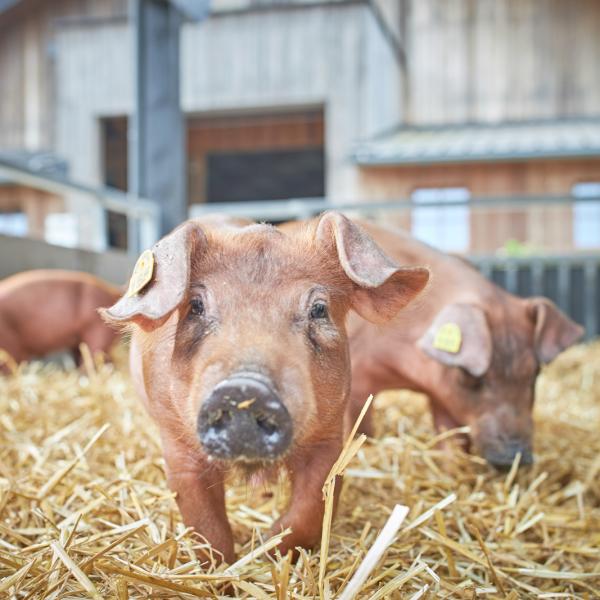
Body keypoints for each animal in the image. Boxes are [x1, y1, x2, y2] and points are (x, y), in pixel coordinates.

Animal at [104, 214, 432, 564]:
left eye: (319, 309)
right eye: (195, 306)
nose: (247, 389)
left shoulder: (330, 436)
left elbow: (310, 509)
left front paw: (268, 547)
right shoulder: (176, 444)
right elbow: (205, 525)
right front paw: (224, 569)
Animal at [340, 220, 584, 468]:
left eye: (534, 374)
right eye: (473, 376)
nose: (513, 457)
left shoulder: (441, 391)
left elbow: (450, 435)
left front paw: (452, 462)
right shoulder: (359, 379)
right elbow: (360, 427)